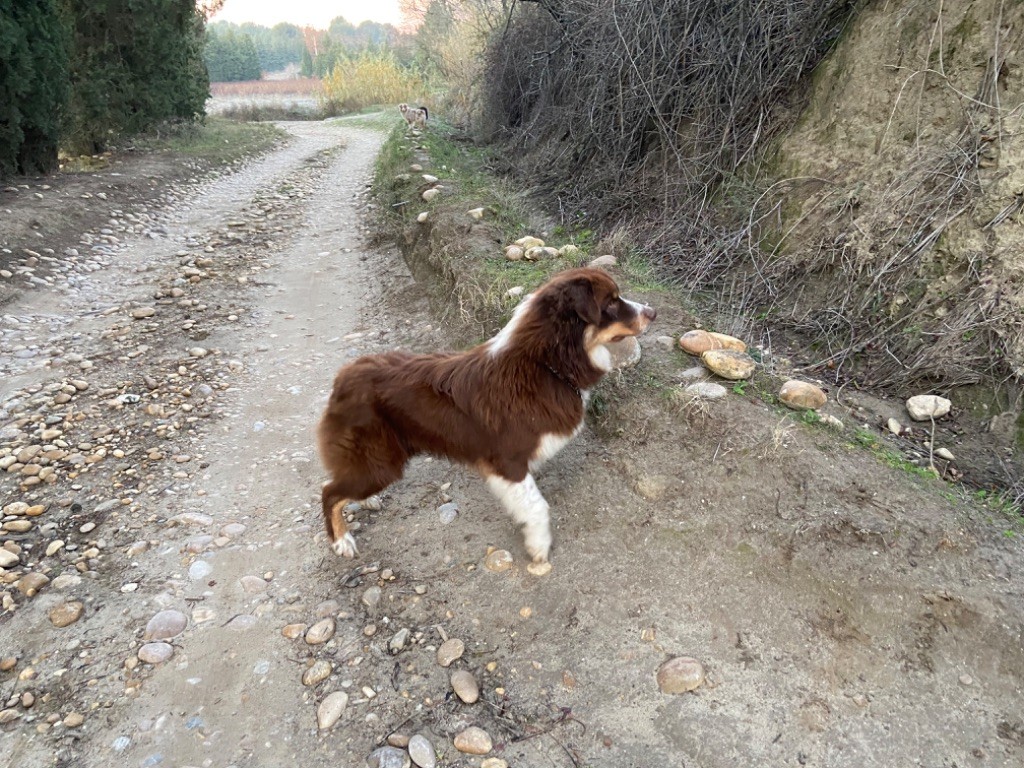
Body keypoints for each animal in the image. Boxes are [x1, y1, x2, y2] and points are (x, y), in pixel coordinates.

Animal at [315, 270, 659, 565]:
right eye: (610, 302)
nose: (653, 312)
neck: (547, 364)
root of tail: (345, 374)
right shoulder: (508, 461)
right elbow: (537, 505)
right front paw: (539, 545)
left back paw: (367, 501)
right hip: (382, 462)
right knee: (330, 492)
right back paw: (341, 540)